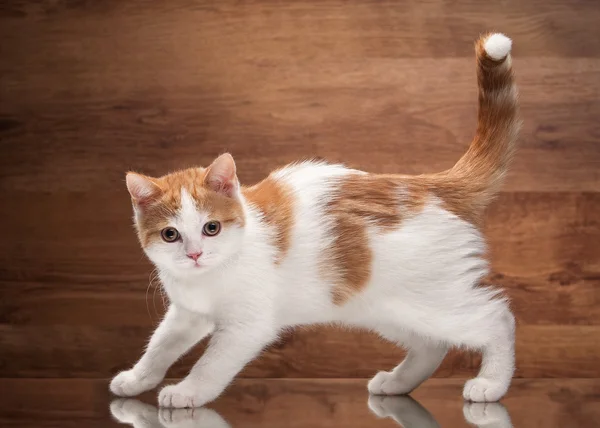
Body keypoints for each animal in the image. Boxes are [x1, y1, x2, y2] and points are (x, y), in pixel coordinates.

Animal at [111, 33, 520, 408]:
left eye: (211, 228)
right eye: (170, 235)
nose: (195, 254)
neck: (211, 274)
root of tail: (428, 184)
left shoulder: (247, 326)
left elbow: (211, 364)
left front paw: (188, 392)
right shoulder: (186, 314)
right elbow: (160, 345)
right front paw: (136, 379)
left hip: (433, 299)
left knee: (496, 318)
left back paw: (491, 383)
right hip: (384, 306)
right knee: (431, 344)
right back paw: (397, 383)